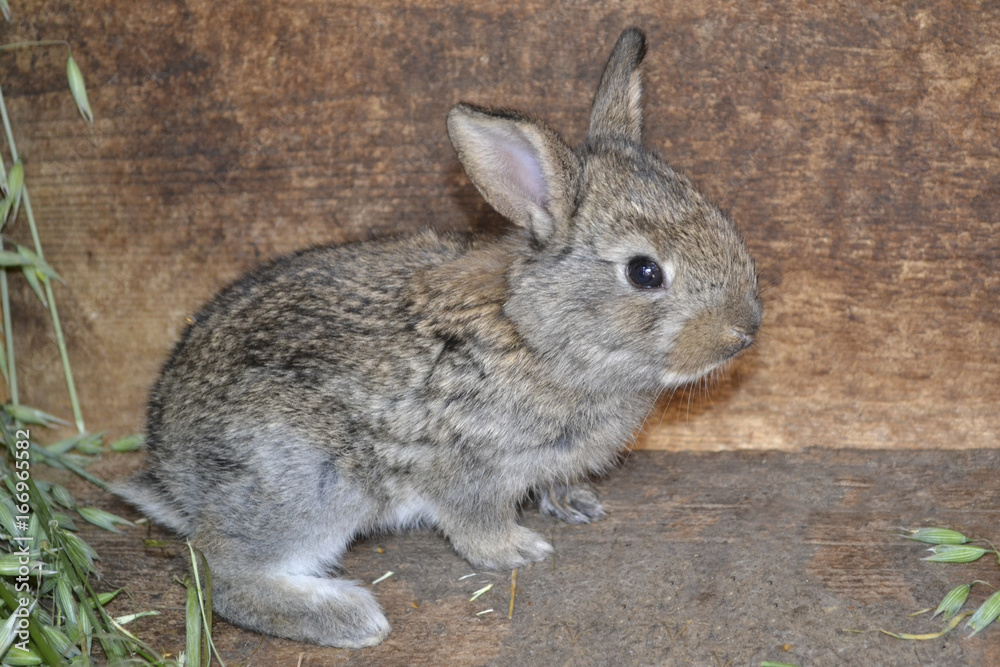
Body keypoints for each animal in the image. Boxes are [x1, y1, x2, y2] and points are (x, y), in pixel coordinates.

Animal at [115, 27, 762, 649]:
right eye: (644, 272)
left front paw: (576, 503)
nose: (745, 331)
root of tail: (175, 479)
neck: (537, 334)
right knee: (223, 574)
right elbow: (474, 522)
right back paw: (350, 618)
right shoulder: (466, 464)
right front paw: (519, 550)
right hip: (308, 481)